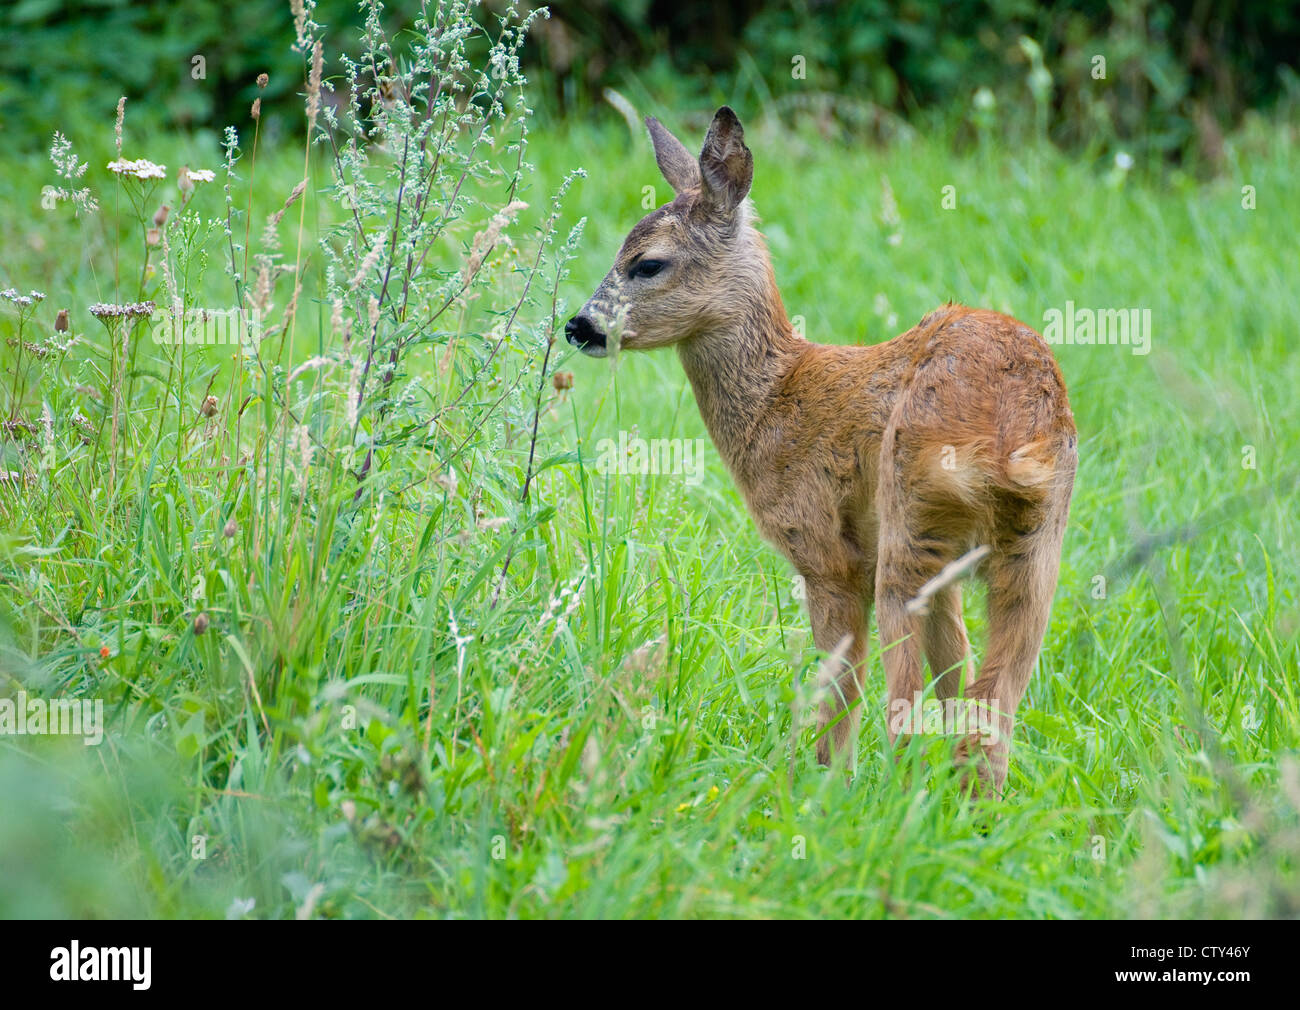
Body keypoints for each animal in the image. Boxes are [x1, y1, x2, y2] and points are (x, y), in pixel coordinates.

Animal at [564, 107, 1077, 794]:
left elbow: (840, 686)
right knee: (991, 700)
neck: (778, 398)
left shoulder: (824, 556)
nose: (579, 326)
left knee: (903, 692)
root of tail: (1014, 427)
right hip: (1034, 544)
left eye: (647, 263)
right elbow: (953, 671)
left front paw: (822, 783)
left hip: (909, 524)